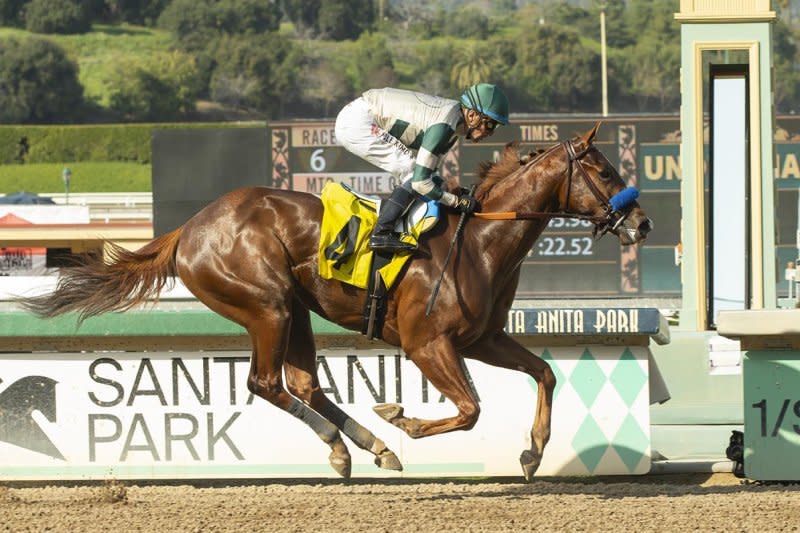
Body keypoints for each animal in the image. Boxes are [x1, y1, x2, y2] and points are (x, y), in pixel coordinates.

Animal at [21, 123, 648, 478]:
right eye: (602, 168)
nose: (642, 222)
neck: (481, 241)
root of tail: (191, 228)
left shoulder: (484, 338)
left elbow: (544, 373)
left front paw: (533, 453)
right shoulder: (427, 344)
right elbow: (470, 410)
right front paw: (400, 417)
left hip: (295, 309)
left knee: (304, 385)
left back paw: (365, 448)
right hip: (267, 305)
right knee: (266, 383)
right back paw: (353, 444)